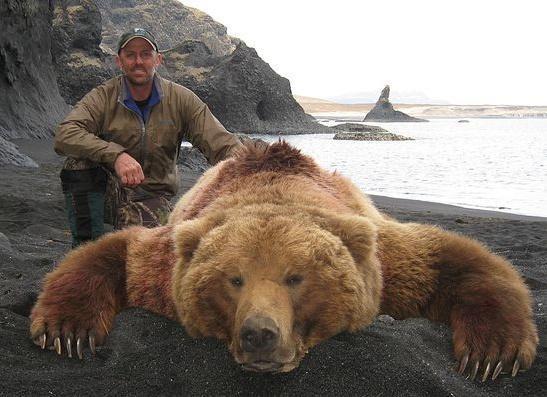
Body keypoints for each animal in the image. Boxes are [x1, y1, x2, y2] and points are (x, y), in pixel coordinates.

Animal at [31, 141, 540, 378]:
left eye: (297, 277)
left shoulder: (384, 261)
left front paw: (491, 353)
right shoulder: (166, 263)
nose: (259, 333)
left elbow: (449, 259)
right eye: (233, 279)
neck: (273, 189)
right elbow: (117, 254)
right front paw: (68, 330)